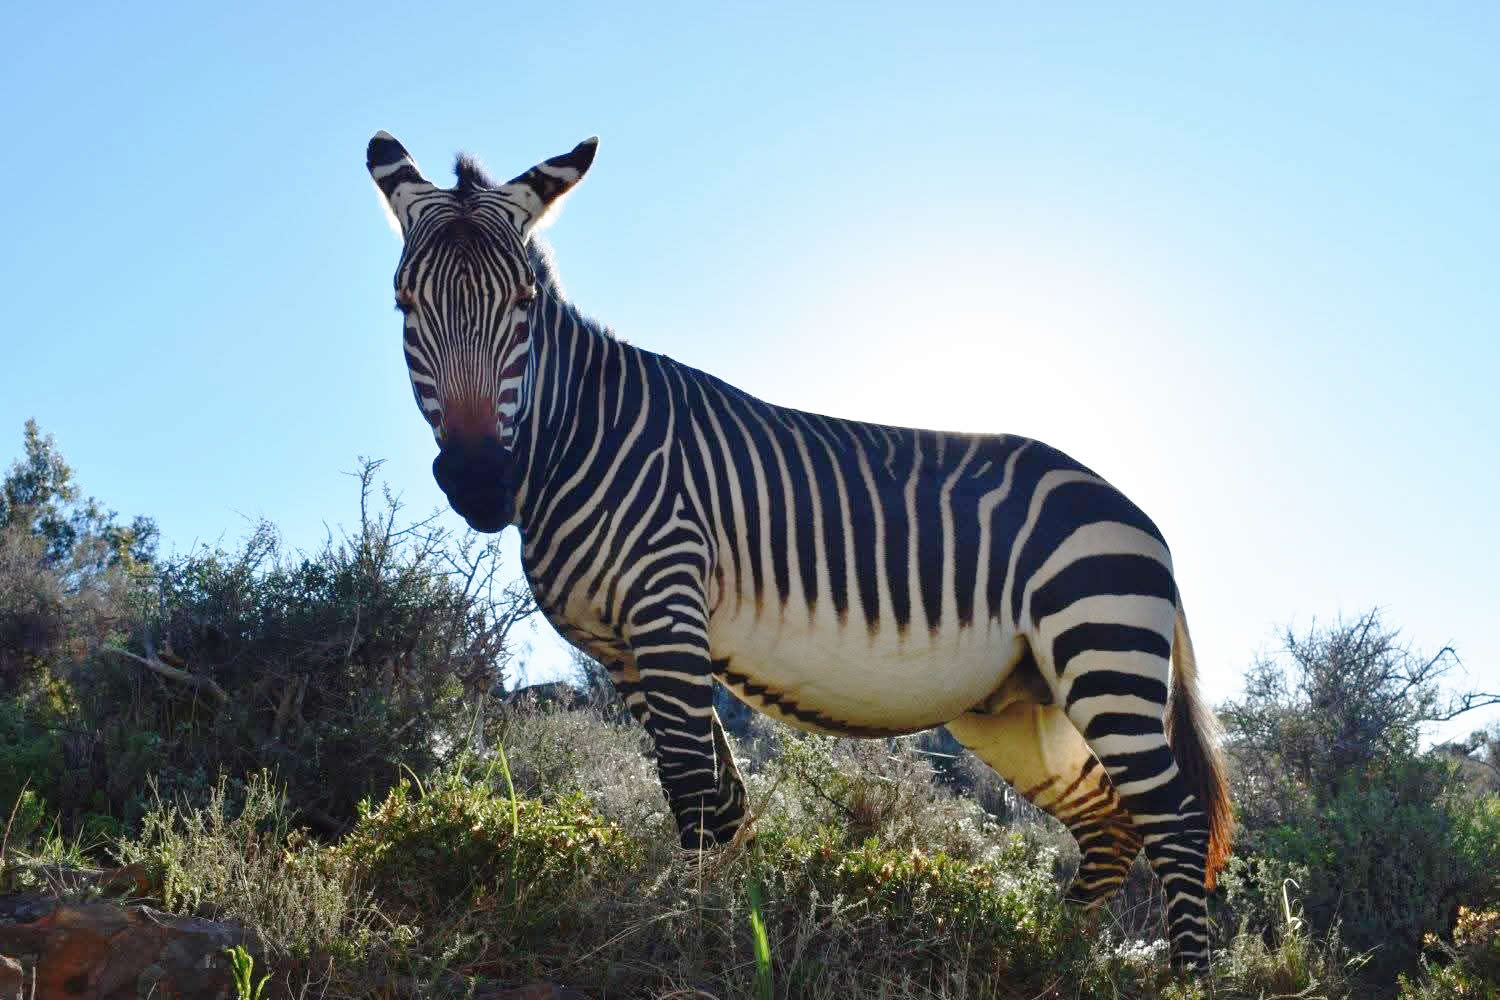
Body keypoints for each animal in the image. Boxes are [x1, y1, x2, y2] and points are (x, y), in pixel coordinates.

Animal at [364, 131, 1233, 968]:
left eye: (524, 303)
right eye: (404, 304)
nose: (480, 481)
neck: (582, 434)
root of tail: (1142, 520)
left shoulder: (667, 604)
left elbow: (694, 788)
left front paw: (693, 936)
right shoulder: (624, 649)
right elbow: (720, 798)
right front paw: (723, 926)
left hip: (1101, 652)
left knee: (1175, 821)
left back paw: (1181, 977)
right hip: (1023, 703)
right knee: (1112, 823)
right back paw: (1048, 954)